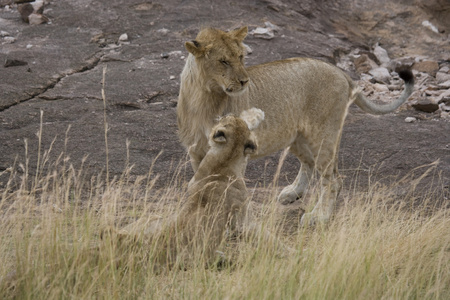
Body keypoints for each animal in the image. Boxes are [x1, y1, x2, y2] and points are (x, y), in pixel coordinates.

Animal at [177, 26, 414, 225]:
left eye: (241, 57)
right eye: (223, 61)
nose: (245, 81)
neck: (204, 96)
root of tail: (340, 72)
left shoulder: (236, 150)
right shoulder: (196, 152)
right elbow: (201, 184)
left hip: (324, 135)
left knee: (333, 179)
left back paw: (319, 216)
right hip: (297, 136)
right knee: (309, 163)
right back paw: (293, 193)